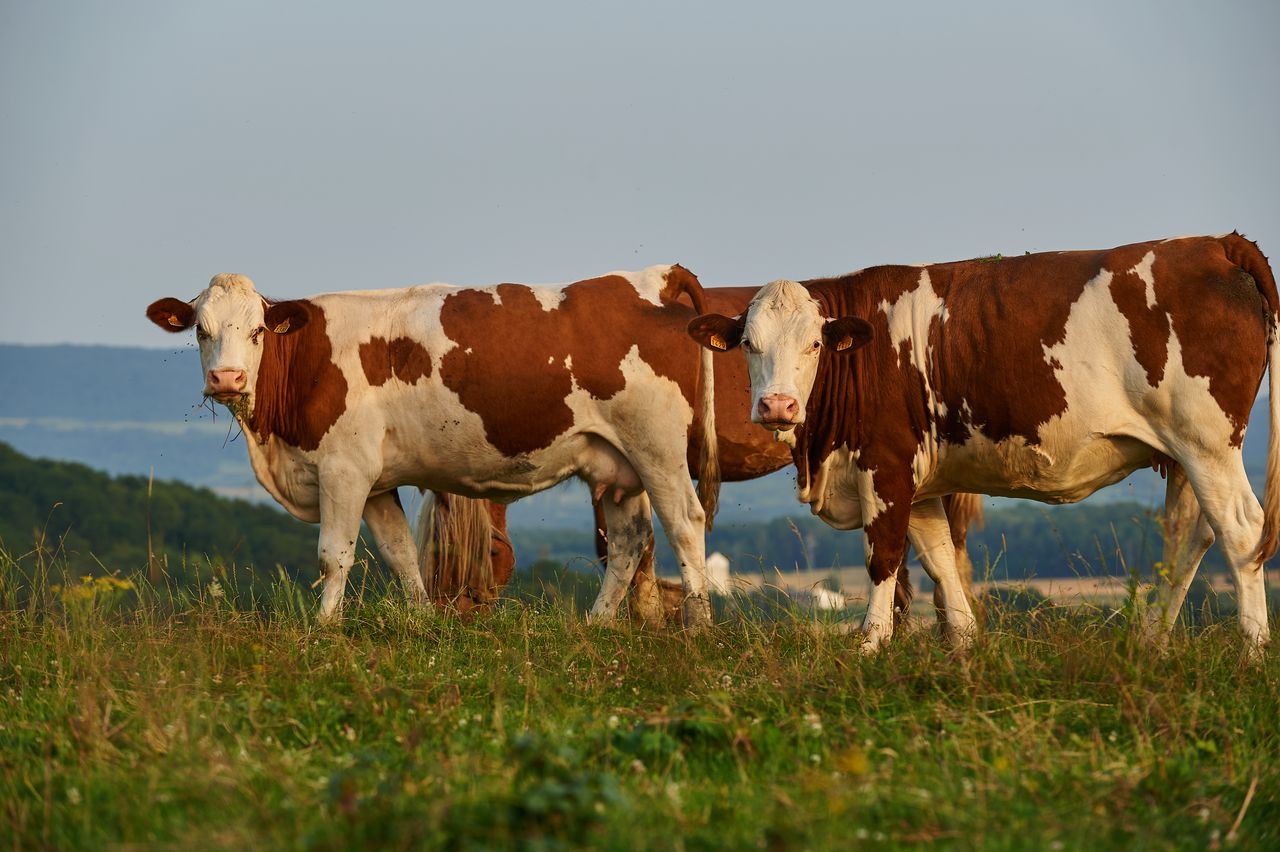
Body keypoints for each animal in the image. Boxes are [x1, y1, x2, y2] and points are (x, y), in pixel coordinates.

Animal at [146, 264, 721, 626]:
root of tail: (652, 277)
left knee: (685, 525)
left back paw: (698, 628)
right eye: (201, 331)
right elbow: (400, 553)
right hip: (618, 464)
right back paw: (596, 624)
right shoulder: (376, 482)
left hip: (657, 450)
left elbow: (334, 555)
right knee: (629, 539)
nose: (227, 378)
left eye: (259, 331)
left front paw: (323, 627)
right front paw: (422, 620)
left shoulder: (344, 468)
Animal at [689, 234, 1279, 654]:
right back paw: (1150, 646)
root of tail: (1215, 242)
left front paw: (870, 645)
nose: (777, 406)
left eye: (814, 344)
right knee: (1187, 537)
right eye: (748, 344)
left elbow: (884, 557)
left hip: (1207, 443)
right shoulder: (920, 483)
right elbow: (939, 560)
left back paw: (1251, 654)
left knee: (1241, 530)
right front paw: (966, 646)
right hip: (1182, 453)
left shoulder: (886, 465)